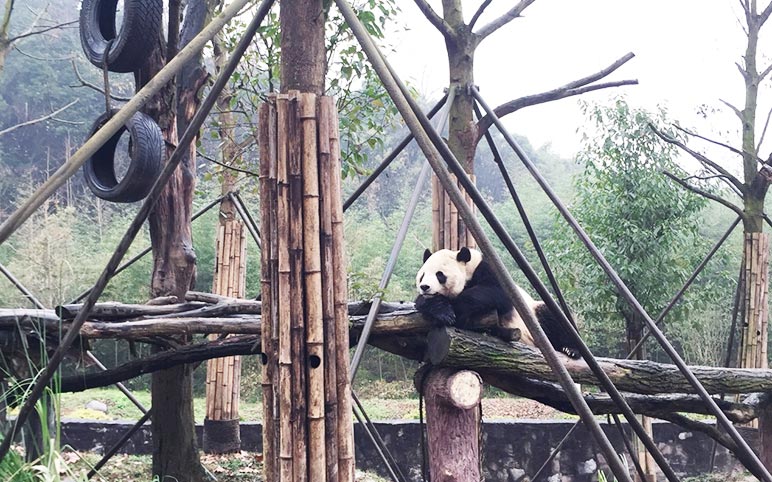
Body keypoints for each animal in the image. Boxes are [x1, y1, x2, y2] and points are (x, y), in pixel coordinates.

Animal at [416, 249, 580, 358]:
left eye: (439, 275)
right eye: (422, 275)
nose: (425, 287)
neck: (468, 269)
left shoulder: (489, 270)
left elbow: (497, 292)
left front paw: (455, 310)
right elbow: (422, 303)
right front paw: (442, 310)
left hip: (535, 313)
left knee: (553, 317)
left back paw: (570, 349)